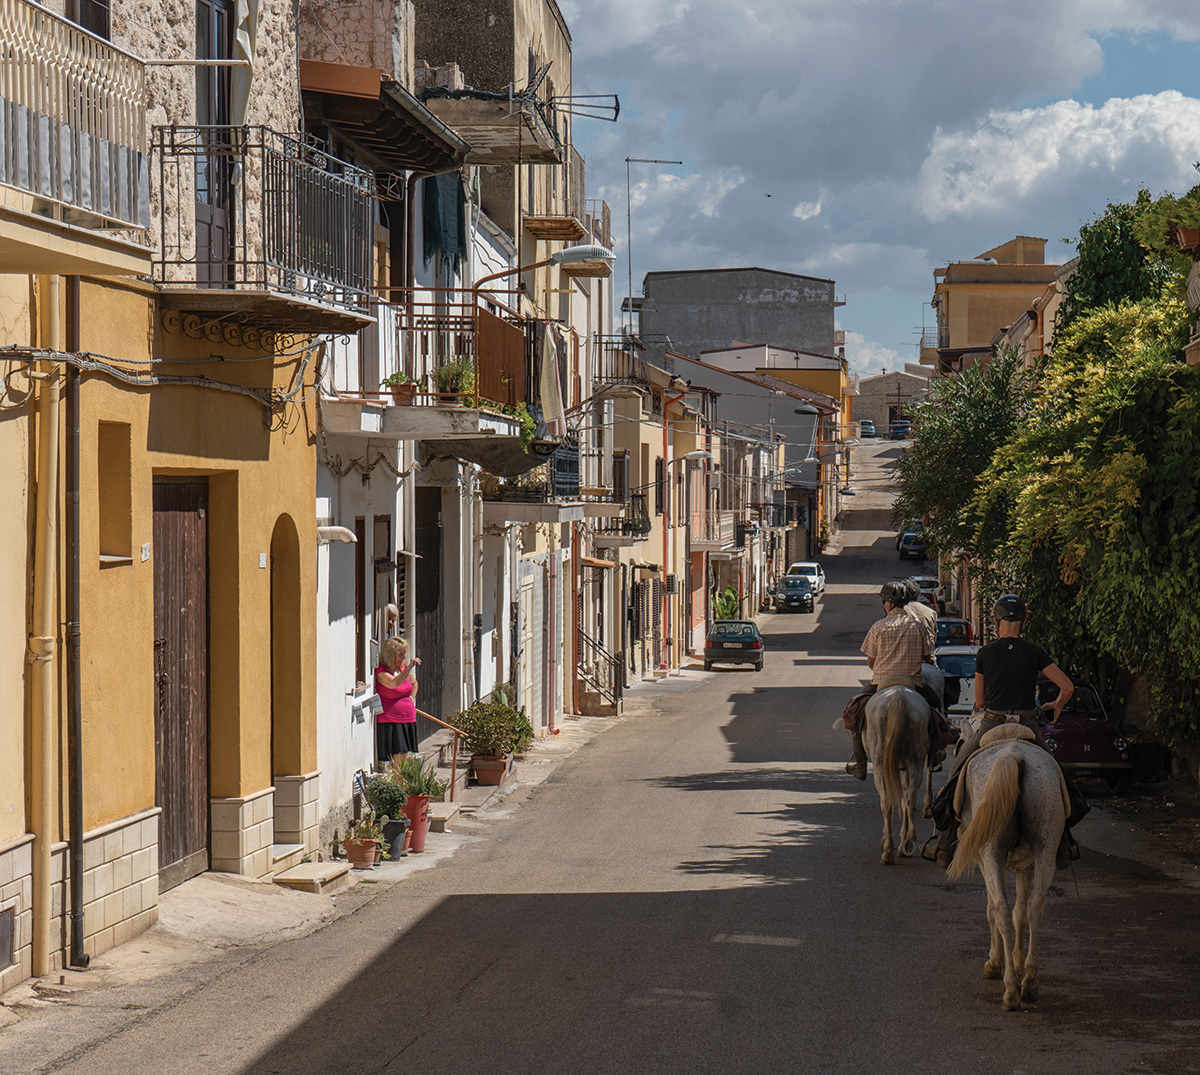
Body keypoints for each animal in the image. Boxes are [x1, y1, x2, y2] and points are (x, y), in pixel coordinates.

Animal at [864, 686, 926, 868]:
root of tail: (898, 696)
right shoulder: (904, 767)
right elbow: (905, 799)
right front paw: (904, 843)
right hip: (916, 758)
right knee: (910, 796)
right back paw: (909, 840)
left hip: (879, 763)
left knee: (886, 802)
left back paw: (887, 851)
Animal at [950, 724, 1075, 1012]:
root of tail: (1014, 756)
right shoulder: (1026, 865)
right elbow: (1021, 913)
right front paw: (1018, 964)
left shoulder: (984, 862)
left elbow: (992, 910)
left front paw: (996, 964)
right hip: (1046, 850)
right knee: (1035, 908)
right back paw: (1029, 983)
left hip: (991, 853)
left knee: (1002, 911)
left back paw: (1010, 991)